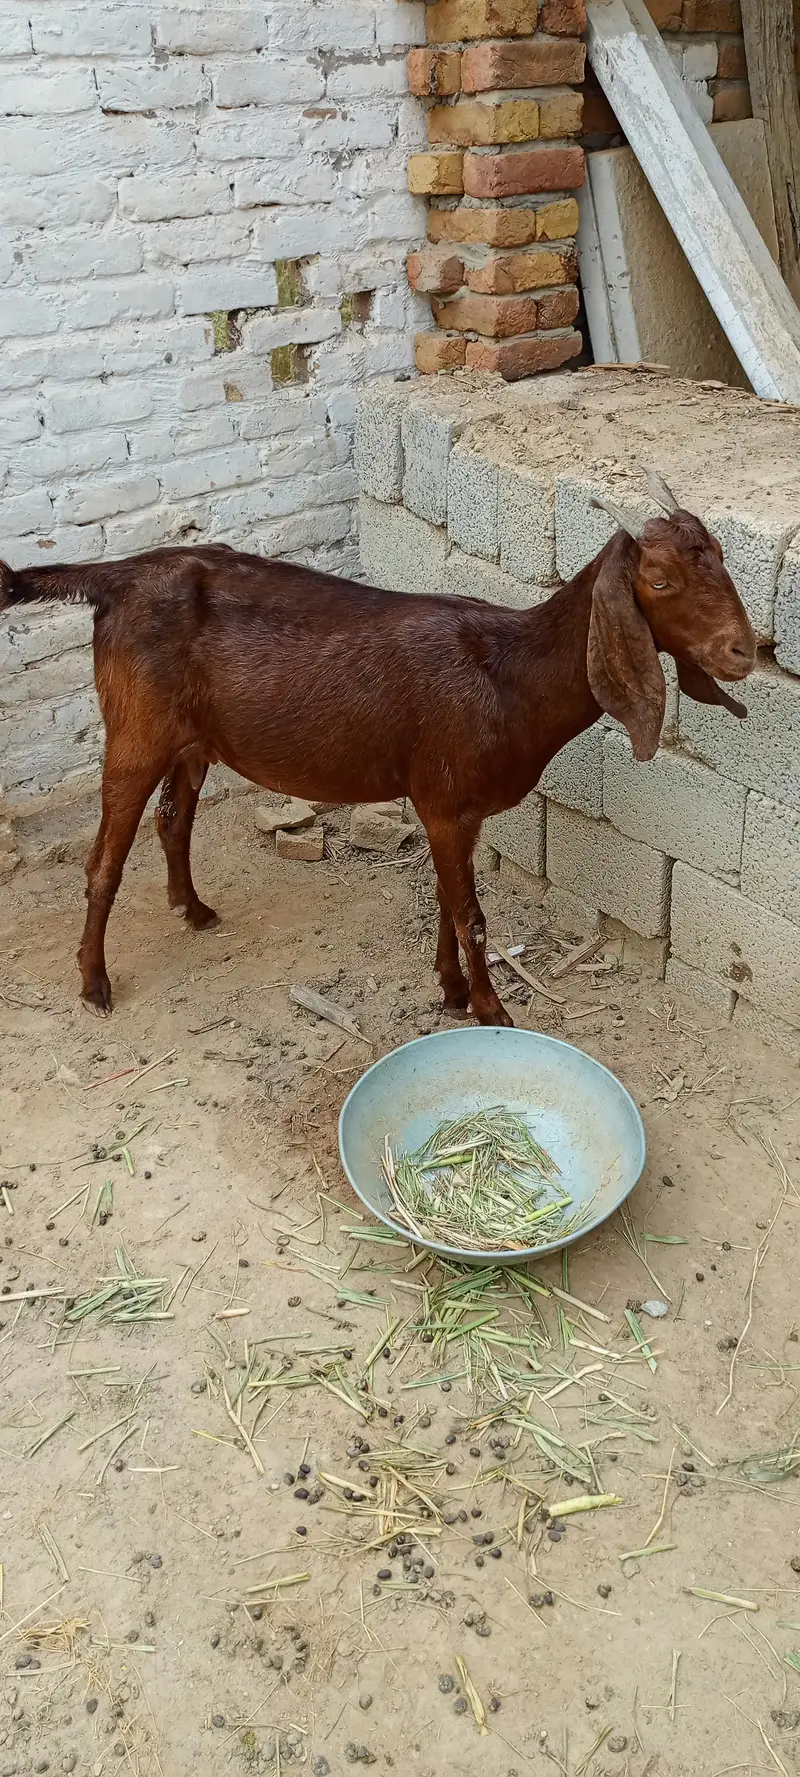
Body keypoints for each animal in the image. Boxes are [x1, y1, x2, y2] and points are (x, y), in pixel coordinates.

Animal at [0, 476, 756, 1023]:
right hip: (136, 730)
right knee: (104, 858)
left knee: (172, 820)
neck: (508, 673)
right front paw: (491, 1010)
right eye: (660, 580)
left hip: (192, 737)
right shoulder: (444, 800)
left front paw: (451, 989)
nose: (744, 651)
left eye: (723, 560)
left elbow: (452, 904)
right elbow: (474, 916)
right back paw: (94, 982)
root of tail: (116, 578)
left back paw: (194, 910)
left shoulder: (457, 810)